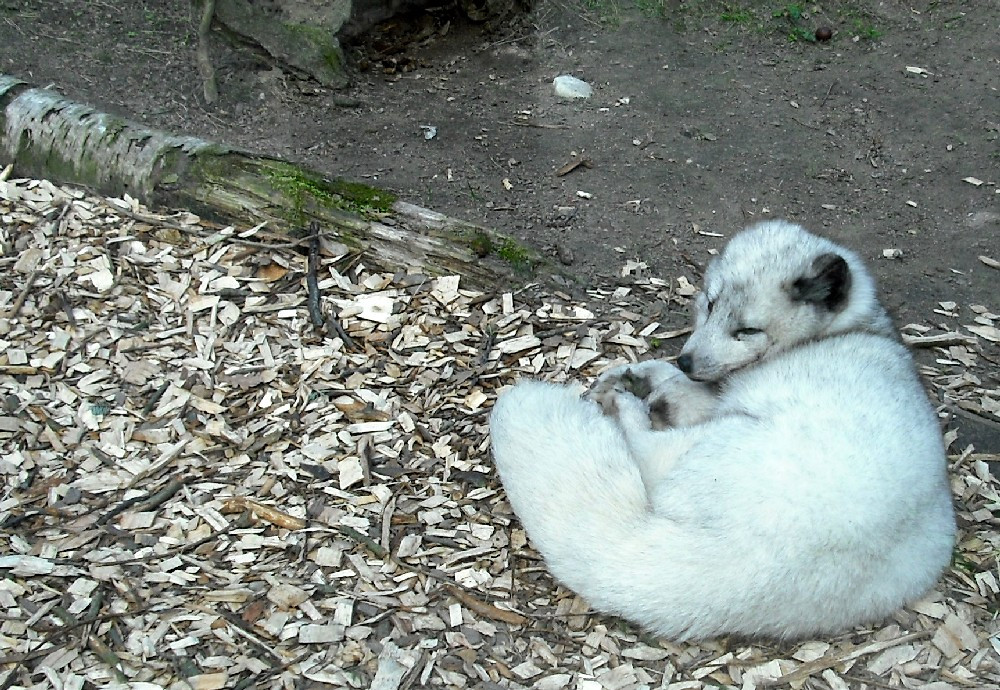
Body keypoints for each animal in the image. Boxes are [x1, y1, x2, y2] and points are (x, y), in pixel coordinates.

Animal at [488, 220, 956, 640]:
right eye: (711, 305)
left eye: (747, 330)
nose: (686, 360)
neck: (844, 330)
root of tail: (752, 566)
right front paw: (638, 372)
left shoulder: (716, 401)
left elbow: (678, 393)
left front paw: (644, 385)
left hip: (713, 439)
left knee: (644, 450)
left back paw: (627, 406)